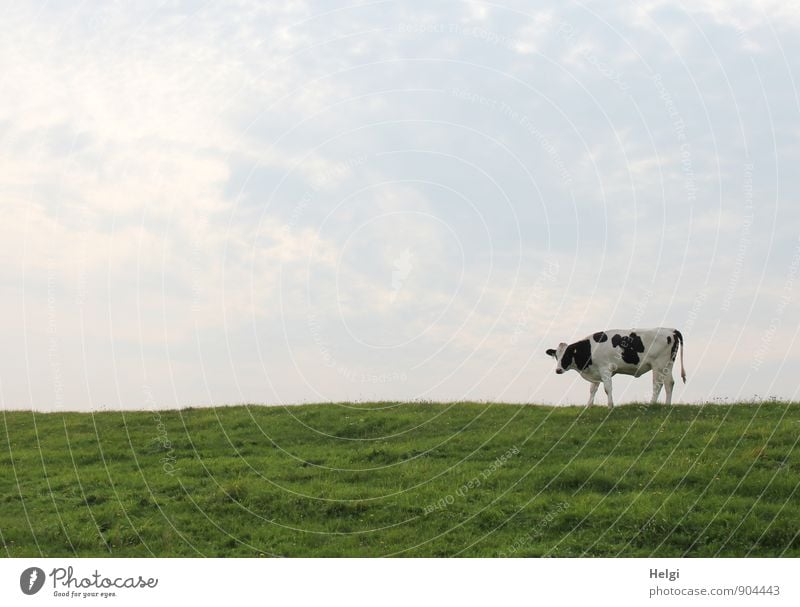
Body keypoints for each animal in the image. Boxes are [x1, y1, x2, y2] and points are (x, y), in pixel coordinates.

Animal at [544, 328, 688, 408]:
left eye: (567, 355)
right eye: (556, 356)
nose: (558, 370)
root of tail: (671, 330)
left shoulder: (605, 369)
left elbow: (607, 388)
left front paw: (610, 406)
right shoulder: (595, 371)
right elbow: (592, 389)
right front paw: (588, 406)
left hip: (659, 364)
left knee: (659, 384)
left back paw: (653, 404)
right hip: (668, 364)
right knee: (669, 383)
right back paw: (667, 405)